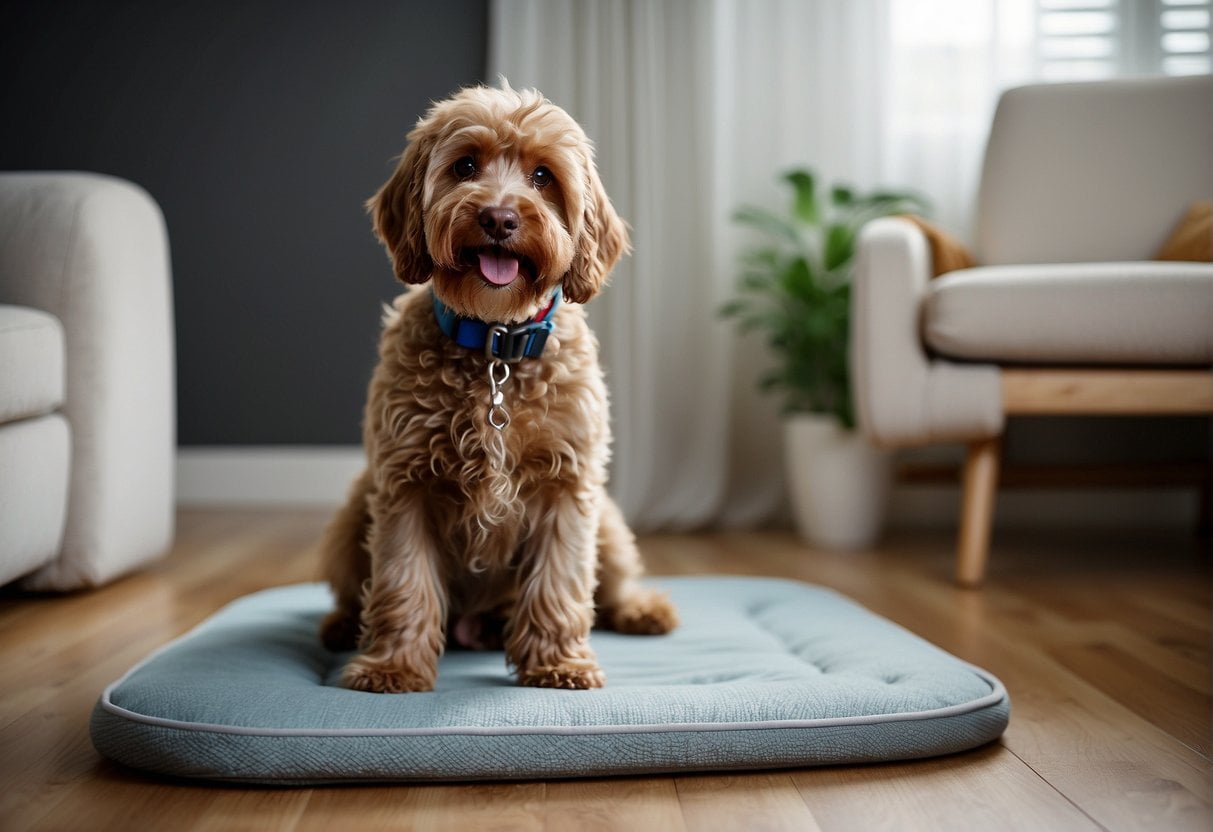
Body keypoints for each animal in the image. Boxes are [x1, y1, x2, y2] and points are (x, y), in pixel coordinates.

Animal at [322, 86, 679, 698]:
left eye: (542, 176)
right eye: (465, 166)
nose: (498, 216)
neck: (496, 351)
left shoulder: (567, 486)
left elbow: (560, 582)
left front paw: (558, 663)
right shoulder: (404, 486)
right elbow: (401, 582)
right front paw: (392, 667)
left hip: (608, 524)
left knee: (612, 588)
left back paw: (640, 610)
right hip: (352, 515)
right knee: (353, 587)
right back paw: (342, 625)